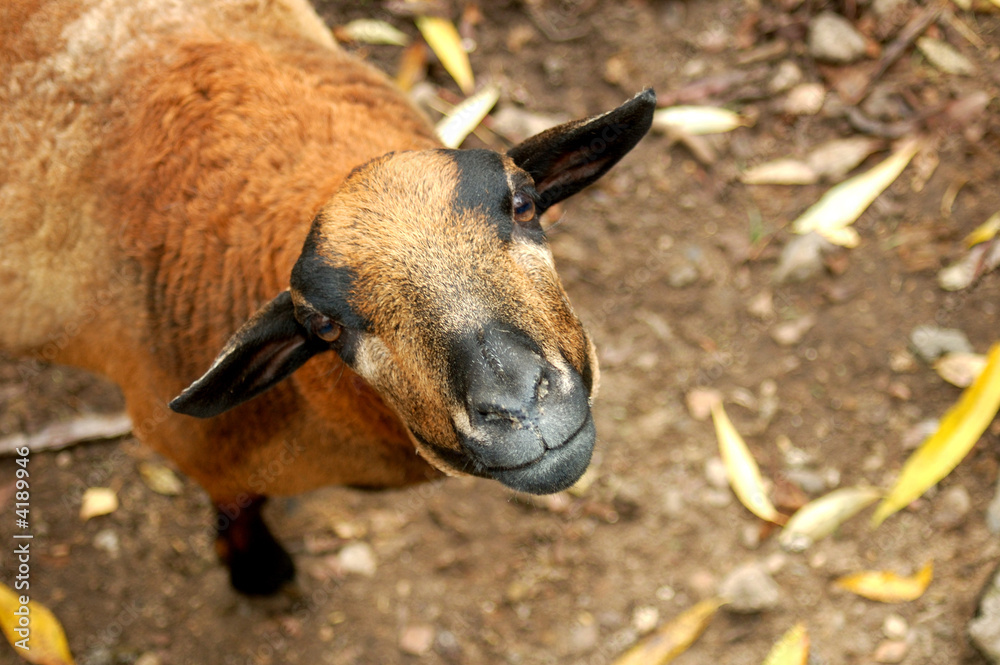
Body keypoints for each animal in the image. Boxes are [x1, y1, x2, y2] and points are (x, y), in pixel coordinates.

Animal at [1, 0, 655, 594]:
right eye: (324, 327)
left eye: (523, 203)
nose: (519, 405)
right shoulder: (194, 450)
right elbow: (237, 502)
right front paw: (258, 571)